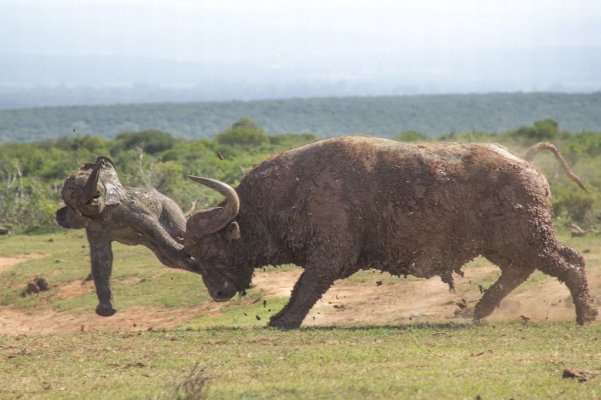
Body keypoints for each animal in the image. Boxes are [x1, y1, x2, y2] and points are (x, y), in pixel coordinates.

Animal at [184, 137, 596, 328]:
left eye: (213, 251)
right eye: (195, 256)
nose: (217, 293)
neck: (293, 190)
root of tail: (525, 164)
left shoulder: (328, 256)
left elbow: (304, 288)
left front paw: (284, 320)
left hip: (530, 239)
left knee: (571, 263)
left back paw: (586, 315)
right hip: (506, 245)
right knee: (520, 270)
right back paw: (479, 309)